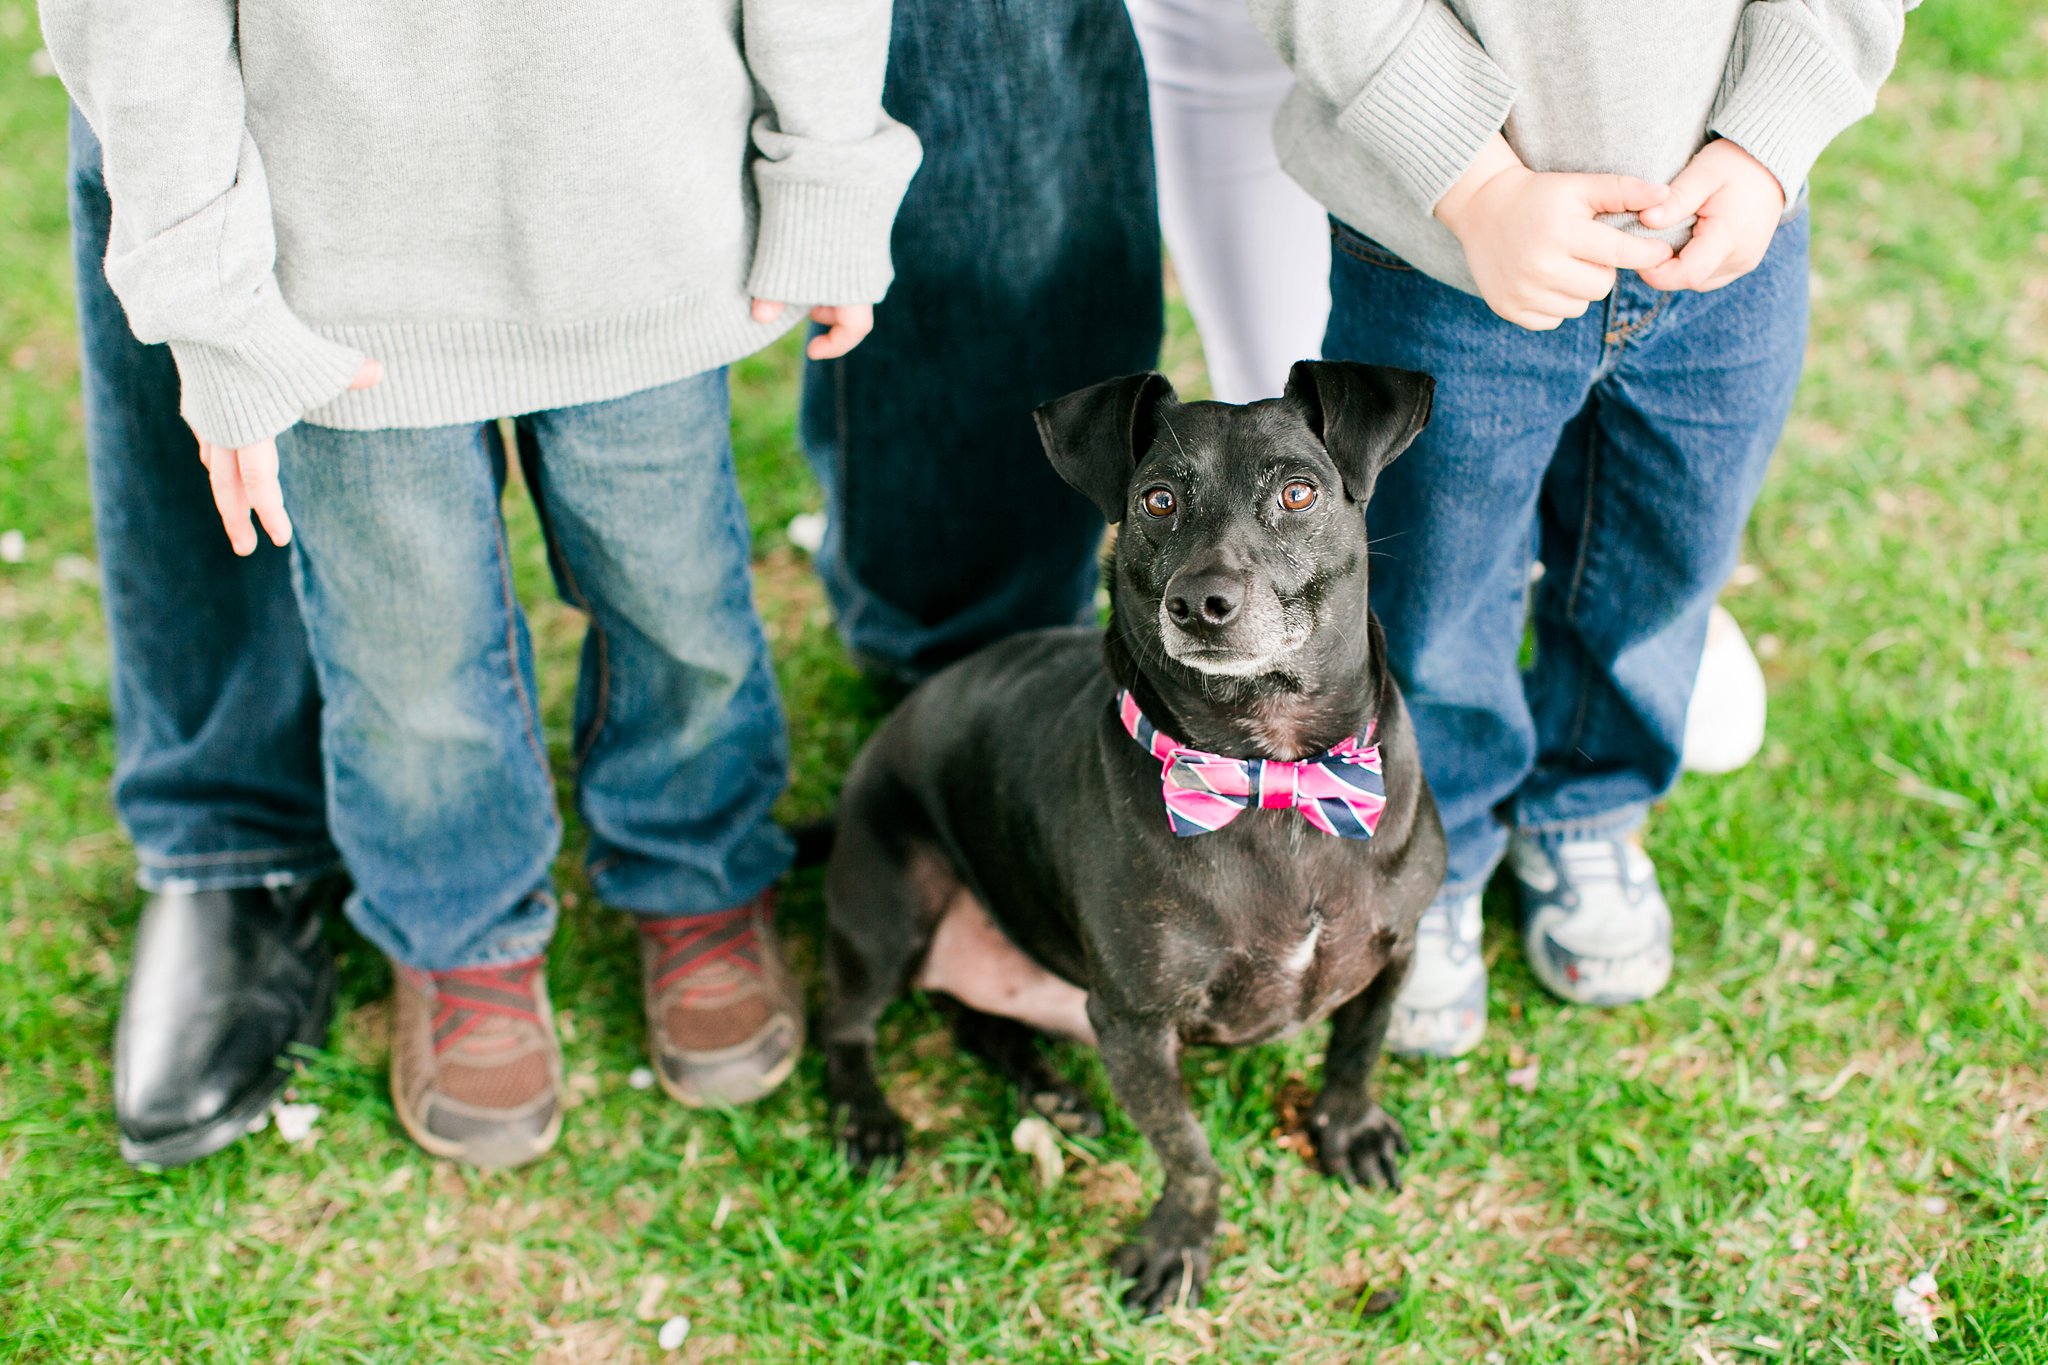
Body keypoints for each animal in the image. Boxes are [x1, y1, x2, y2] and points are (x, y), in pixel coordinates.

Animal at [815, 360, 1441, 1309]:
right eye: (1157, 500)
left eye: (1298, 492)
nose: (1200, 602)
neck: (1269, 774)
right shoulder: (1134, 1024)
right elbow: (1188, 1149)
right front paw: (1180, 1241)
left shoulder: (1397, 948)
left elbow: (1357, 1049)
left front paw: (1348, 1128)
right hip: (887, 909)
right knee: (845, 1025)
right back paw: (872, 1120)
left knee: (977, 1023)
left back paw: (1051, 1094)